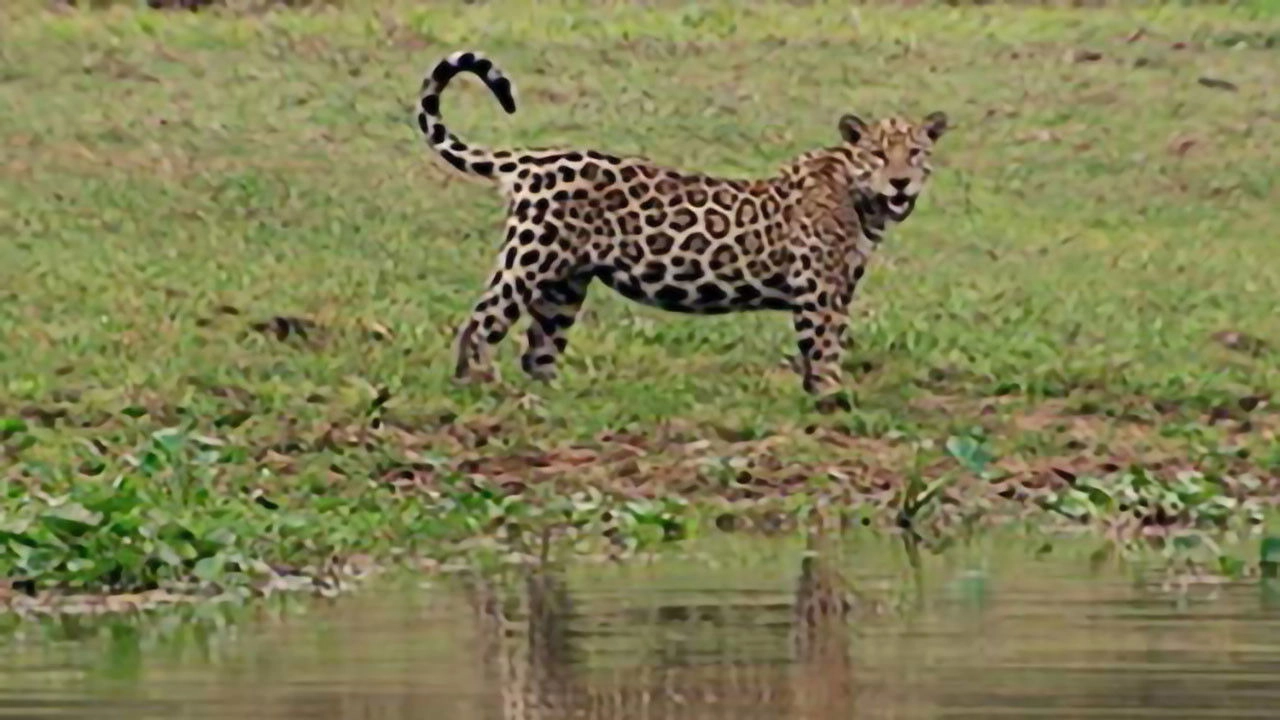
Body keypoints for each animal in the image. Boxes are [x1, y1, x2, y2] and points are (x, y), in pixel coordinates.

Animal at [414, 50, 949, 410]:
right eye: (877, 155)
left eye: (915, 153)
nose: (900, 181)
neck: (864, 204)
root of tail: (530, 159)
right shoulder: (819, 290)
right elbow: (824, 344)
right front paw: (832, 399)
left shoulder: (841, 287)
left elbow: (831, 342)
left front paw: (825, 394)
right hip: (530, 258)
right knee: (482, 320)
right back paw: (478, 387)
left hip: (566, 282)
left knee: (539, 346)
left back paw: (555, 397)